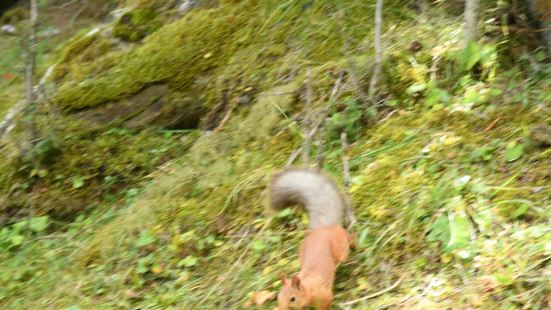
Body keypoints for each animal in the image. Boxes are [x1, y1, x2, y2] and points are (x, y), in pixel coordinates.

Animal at [268, 168, 356, 308]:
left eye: (292, 299)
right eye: (278, 297)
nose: (280, 308)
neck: (308, 288)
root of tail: (322, 228)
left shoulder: (323, 296)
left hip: (341, 248)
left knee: (349, 239)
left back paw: (354, 245)